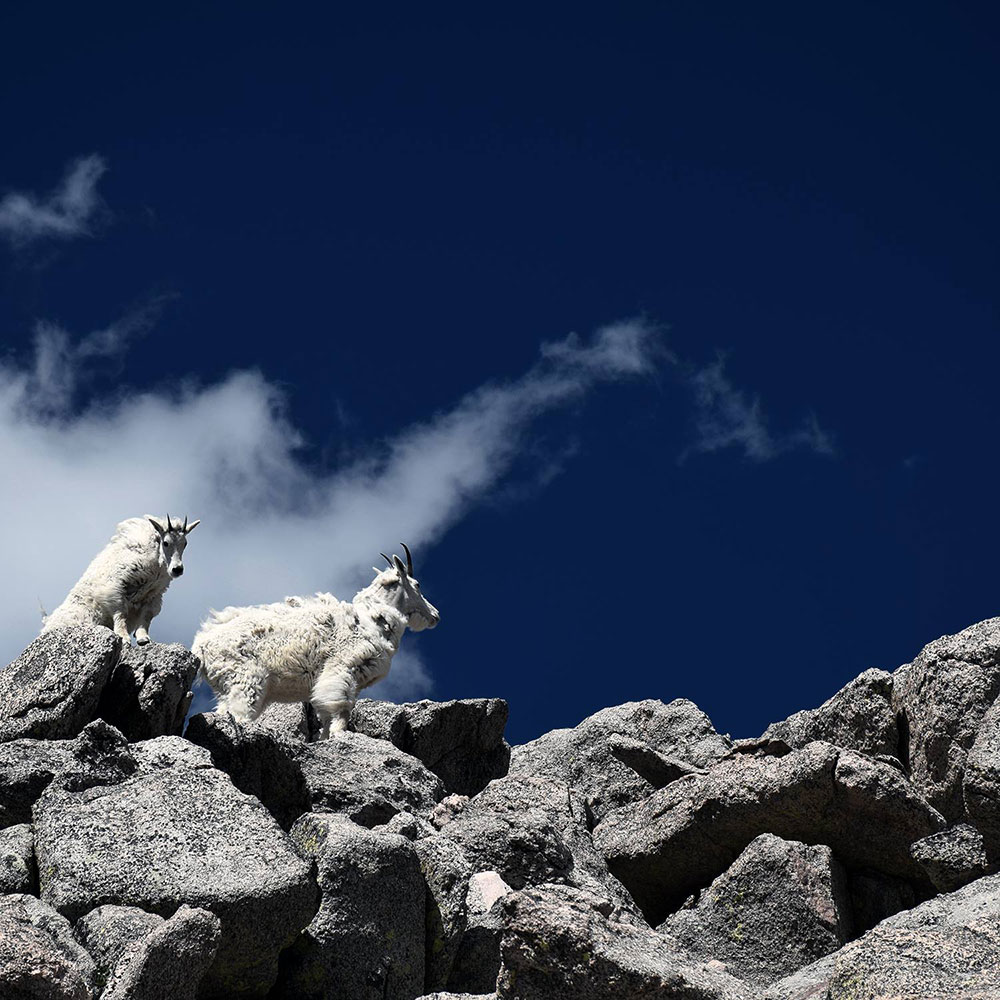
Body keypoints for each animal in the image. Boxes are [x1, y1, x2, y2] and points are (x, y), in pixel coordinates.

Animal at [42, 516, 200, 648]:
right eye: (166, 542)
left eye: (185, 543)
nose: (177, 569)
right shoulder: (115, 585)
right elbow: (120, 612)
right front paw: (124, 638)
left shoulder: (153, 595)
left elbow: (147, 616)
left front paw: (143, 638)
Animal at [194, 544, 442, 740]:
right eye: (417, 584)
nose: (435, 615)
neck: (372, 618)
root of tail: (201, 647)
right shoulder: (342, 668)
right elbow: (341, 707)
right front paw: (341, 735)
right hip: (245, 680)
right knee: (238, 712)